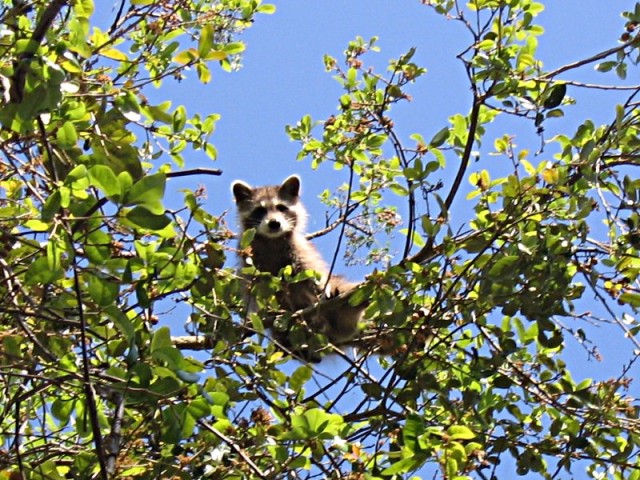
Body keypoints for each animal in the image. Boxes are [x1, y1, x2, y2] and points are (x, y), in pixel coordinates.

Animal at [231, 173, 364, 360]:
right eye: (260, 210)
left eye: (281, 208)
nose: (274, 223)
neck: (272, 239)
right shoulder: (248, 257)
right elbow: (253, 289)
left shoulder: (299, 250)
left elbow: (312, 273)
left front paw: (321, 287)